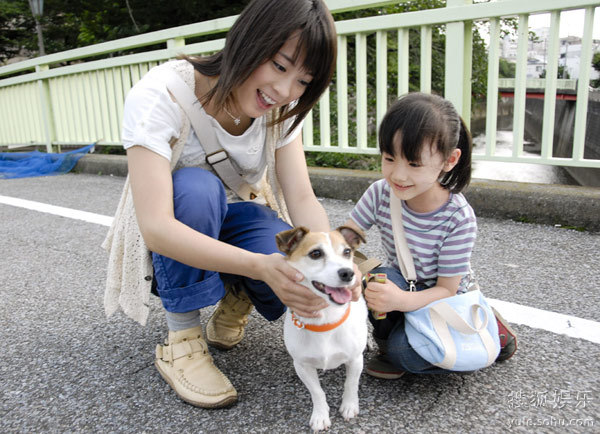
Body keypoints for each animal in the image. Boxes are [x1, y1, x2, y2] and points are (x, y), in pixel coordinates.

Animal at [276, 225, 368, 432]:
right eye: (316, 253)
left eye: (346, 252)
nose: (348, 273)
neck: (326, 321)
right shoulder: (302, 366)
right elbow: (317, 392)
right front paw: (320, 415)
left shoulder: (355, 360)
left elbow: (351, 384)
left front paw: (349, 406)